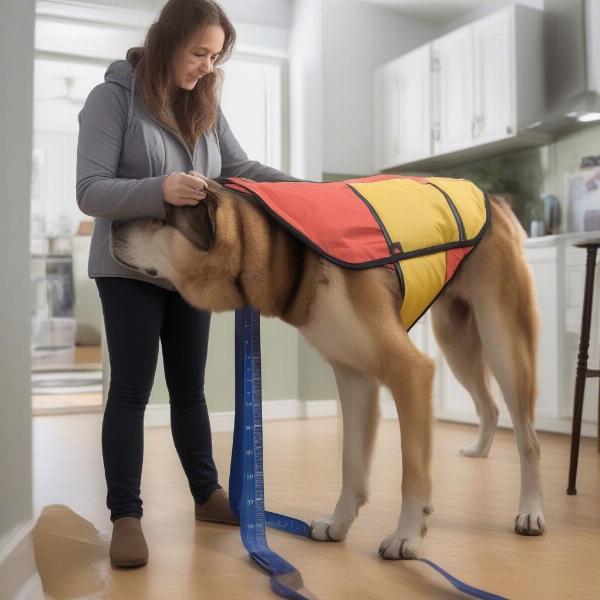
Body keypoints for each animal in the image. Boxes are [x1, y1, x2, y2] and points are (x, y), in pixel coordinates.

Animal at [110, 176, 548, 560]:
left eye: (161, 219)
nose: (111, 224)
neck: (291, 255)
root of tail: (493, 199)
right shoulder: (354, 378)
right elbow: (351, 464)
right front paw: (339, 524)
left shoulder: (411, 371)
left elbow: (413, 470)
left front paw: (407, 536)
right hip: (456, 344)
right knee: (490, 407)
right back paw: (479, 451)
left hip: (503, 340)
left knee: (528, 438)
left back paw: (530, 511)